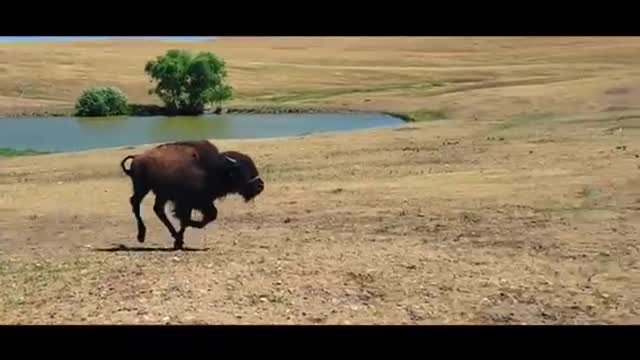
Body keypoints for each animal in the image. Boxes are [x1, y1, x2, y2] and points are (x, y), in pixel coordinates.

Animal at [119, 141, 264, 250]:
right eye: (241, 169)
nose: (260, 186)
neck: (212, 168)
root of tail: (137, 157)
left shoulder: (200, 202)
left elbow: (207, 216)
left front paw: (179, 241)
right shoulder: (188, 203)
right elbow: (188, 219)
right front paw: (181, 239)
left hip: (160, 194)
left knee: (158, 209)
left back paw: (172, 235)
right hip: (143, 188)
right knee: (135, 203)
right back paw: (141, 235)